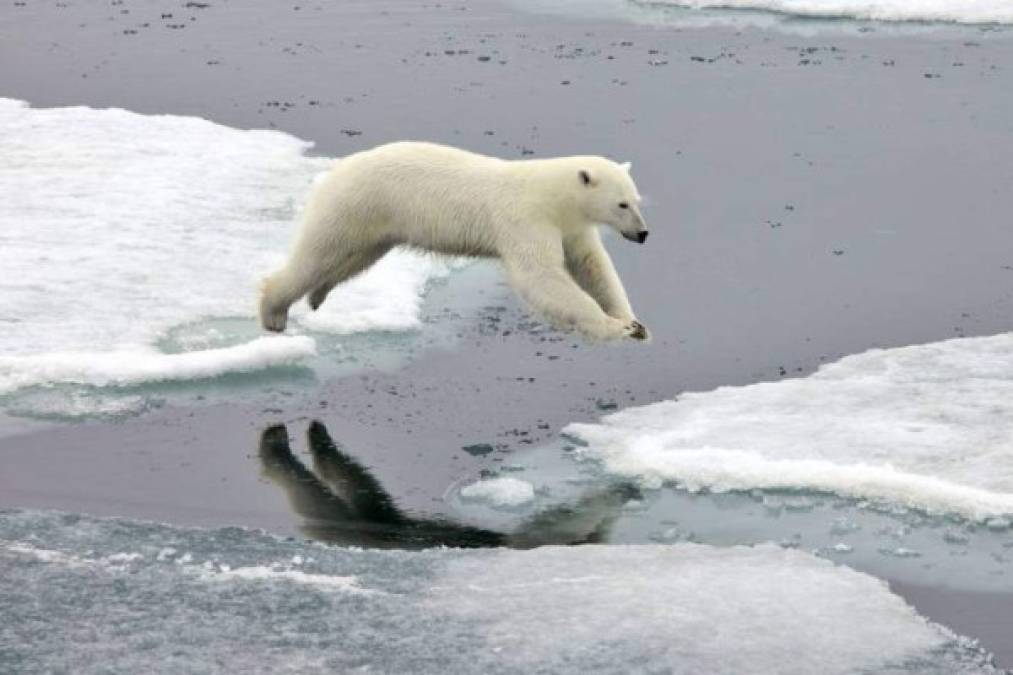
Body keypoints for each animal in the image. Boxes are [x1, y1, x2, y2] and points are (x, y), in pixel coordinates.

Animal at [259, 142, 648, 342]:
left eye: (637, 200)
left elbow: (593, 266)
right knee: (317, 254)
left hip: (375, 223)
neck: (552, 196)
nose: (643, 234)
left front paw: (634, 322)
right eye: (622, 204)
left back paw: (318, 295)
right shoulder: (526, 219)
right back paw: (274, 312)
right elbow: (542, 277)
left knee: (353, 259)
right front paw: (615, 327)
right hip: (355, 204)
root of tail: (336, 169)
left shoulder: (571, 227)